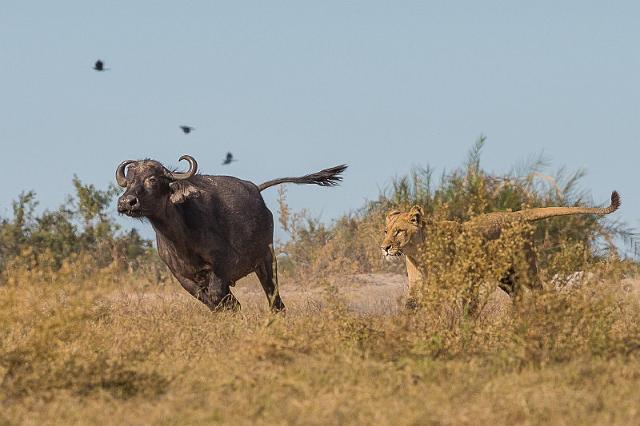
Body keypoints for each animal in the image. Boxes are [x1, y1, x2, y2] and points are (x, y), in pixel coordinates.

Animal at [115, 155, 344, 312]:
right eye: (129, 181)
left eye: (152, 179)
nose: (127, 202)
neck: (181, 239)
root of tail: (256, 190)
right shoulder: (183, 278)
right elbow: (213, 302)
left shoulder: (221, 268)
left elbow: (220, 298)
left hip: (267, 259)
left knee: (275, 299)